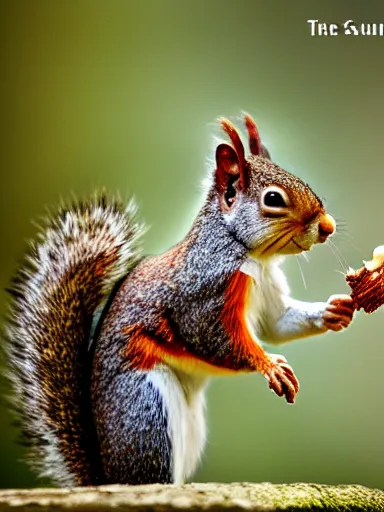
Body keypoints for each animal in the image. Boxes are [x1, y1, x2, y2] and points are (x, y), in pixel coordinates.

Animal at [4, 113, 356, 488]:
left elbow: (277, 324)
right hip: (147, 414)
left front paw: (335, 309)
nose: (328, 227)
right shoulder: (202, 294)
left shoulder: (267, 285)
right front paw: (269, 365)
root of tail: (107, 478)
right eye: (273, 199)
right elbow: (214, 338)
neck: (249, 254)